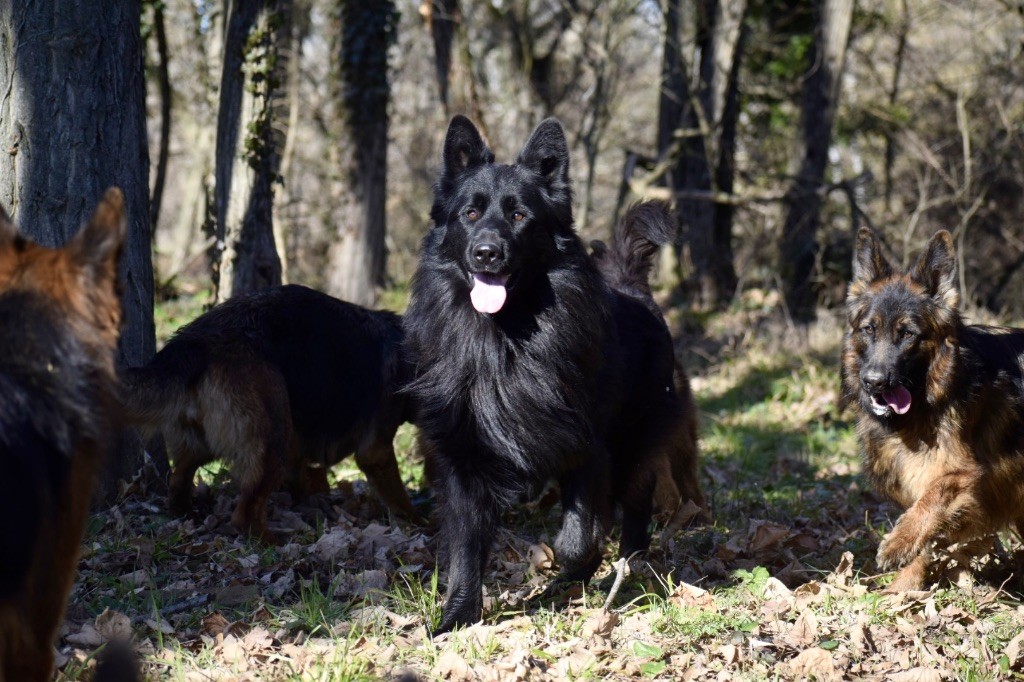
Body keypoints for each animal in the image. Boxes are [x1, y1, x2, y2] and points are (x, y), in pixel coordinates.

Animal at [403, 116, 700, 630]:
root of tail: (632, 286)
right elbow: (465, 549)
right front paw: (457, 618)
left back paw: (630, 564)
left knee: (636, 497)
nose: (486, 253)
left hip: (634, 438)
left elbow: (576, 540)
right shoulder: (465, 456)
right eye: (469, 214)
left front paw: (577, 569)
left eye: (520, 216)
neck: (505, 340)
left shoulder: (588, 445)